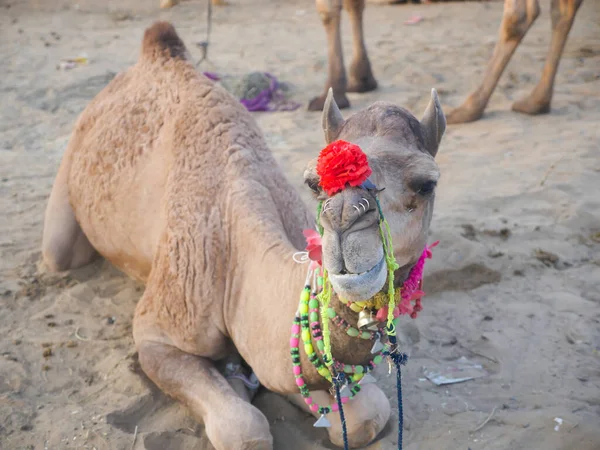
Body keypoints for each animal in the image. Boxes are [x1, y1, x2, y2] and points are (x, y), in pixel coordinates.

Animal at [41, 22, 446, 450]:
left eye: (426, 184)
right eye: (315, 182)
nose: (345, 226)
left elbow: (365, 413)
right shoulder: (157, 332)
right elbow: (244, 429)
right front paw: (235, 383)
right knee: (59, 252)